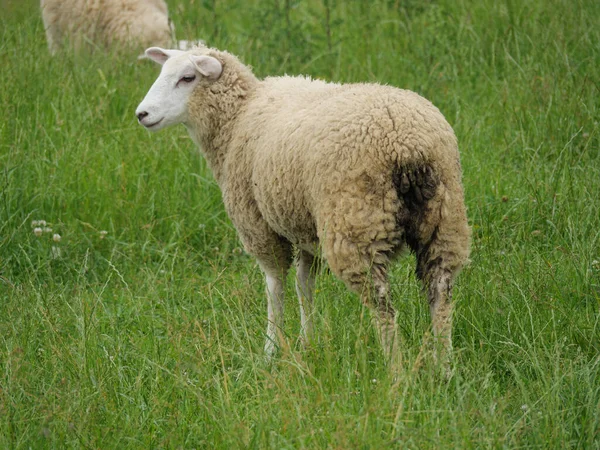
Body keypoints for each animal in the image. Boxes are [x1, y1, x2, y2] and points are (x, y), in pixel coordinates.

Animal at [134, 45, 472, 370]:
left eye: (187, 78)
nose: (142, 114)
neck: (239, 116)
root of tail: (406, 143)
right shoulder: (304, 225)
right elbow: (304, 285)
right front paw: (308, 345)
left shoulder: (259, 225)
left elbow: (275, 287)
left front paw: (271, 350)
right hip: (445, 219)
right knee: (440, 291)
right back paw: (444, 366)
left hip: (354, 222)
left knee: (382, 305)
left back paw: (396, 370)